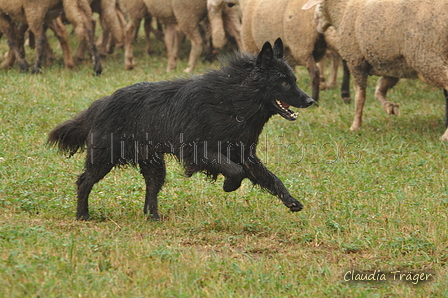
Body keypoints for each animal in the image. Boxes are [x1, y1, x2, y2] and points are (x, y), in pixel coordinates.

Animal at [48, 37, 316, 220]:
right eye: (283, 82)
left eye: (294, 80)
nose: (310, 100)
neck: (234, 99)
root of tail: (102, 102)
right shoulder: (197, 151)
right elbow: (234, 170)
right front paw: (229, 186)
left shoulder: (244, 153)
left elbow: (270, 178)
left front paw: (290, 200)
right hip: (104, 157)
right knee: (84, 181)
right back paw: (82, 215)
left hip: (153, 164)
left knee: (151, 190)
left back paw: (153, 218)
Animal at [304, 0, 448, 141]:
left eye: (319, 6)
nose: (315, 22)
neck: (342, 11)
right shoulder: (392, 67)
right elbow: (379, 89)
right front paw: (390, 107)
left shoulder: (356, 62)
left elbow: (360, 97)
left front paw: (355, 126)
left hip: (426, 56)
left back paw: (445, 136)